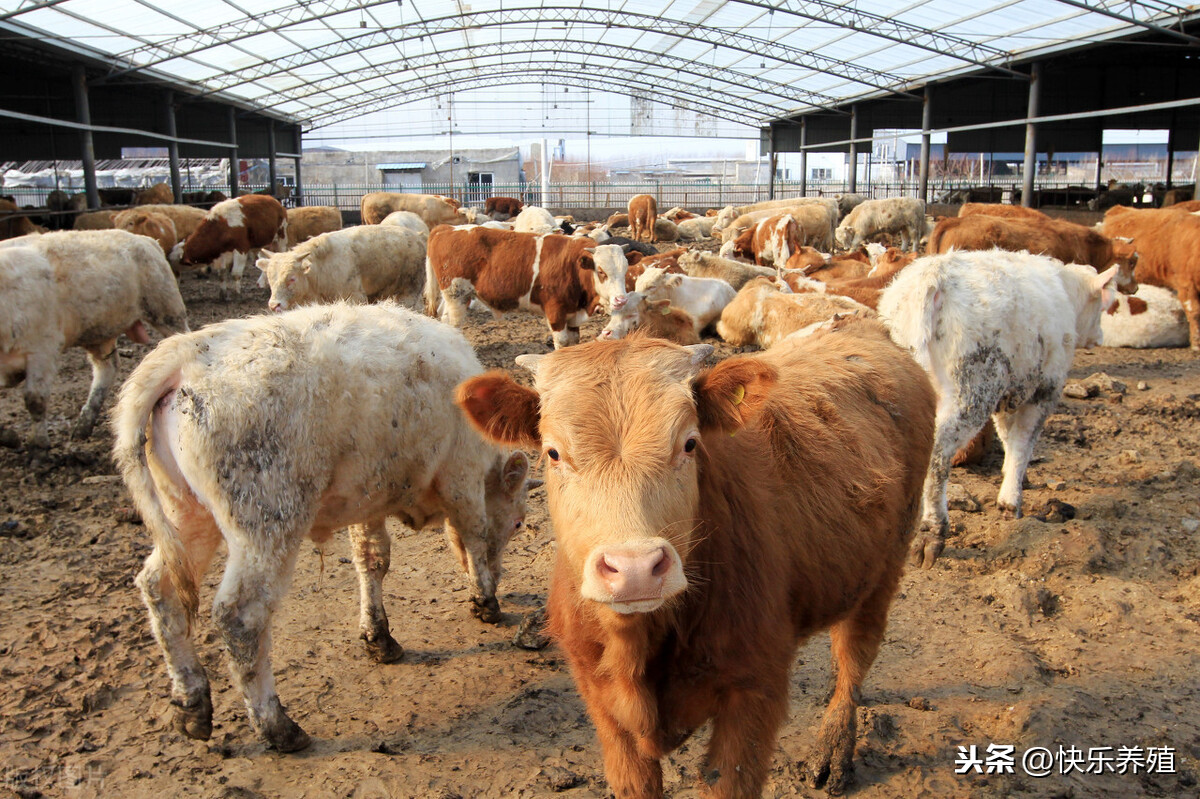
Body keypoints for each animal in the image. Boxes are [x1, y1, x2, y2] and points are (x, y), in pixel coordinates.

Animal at [114, 302, 537, 748]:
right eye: (518, 522)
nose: (503, 576)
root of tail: (186, 353)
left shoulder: (369, 499)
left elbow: (373, 560)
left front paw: (378, 636)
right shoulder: (462, 478)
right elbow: (473, 536)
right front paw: (486, 599)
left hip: (187, 515)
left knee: (159, 589)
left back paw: (192, 702)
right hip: (267, 525)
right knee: (239, 617)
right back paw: (277, 726)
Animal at [458, 321, 936, 791]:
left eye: (689, 444)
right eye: (554, 452)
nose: (635, 570)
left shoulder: (754, 692)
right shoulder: (601, 702)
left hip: (886, 565)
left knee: (854, 654)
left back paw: (835, 750)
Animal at [878, 249, 1118, 566]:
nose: (1100, 338)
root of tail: (934, 276)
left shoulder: (1009, 395)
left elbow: (1008, 438)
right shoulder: (1043, 390)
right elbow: (1023, 443)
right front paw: (1011, 500)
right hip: (972, 386)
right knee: (938, 454)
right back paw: (933, 531)